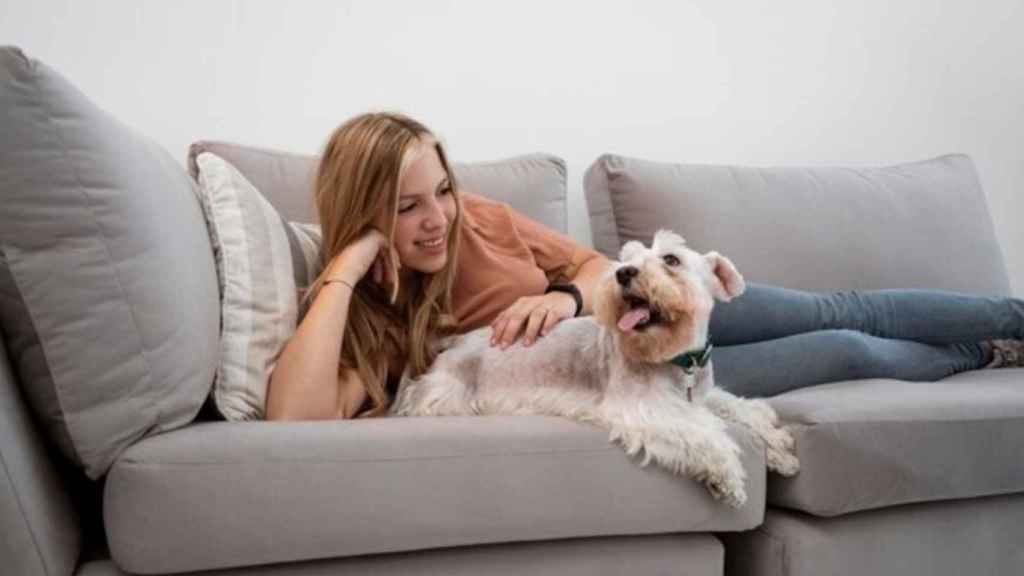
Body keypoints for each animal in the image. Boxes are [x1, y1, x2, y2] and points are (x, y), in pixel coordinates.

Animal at [391, 228, 798, 502]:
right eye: (628, 257)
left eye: (671, 259)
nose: (624, 272)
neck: (677, 360)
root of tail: (457, 341)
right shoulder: (644, 410)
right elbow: (706, 431)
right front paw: (728, 477)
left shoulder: (702, 395)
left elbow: (738, 409)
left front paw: (779, 445)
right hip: (445, 396)